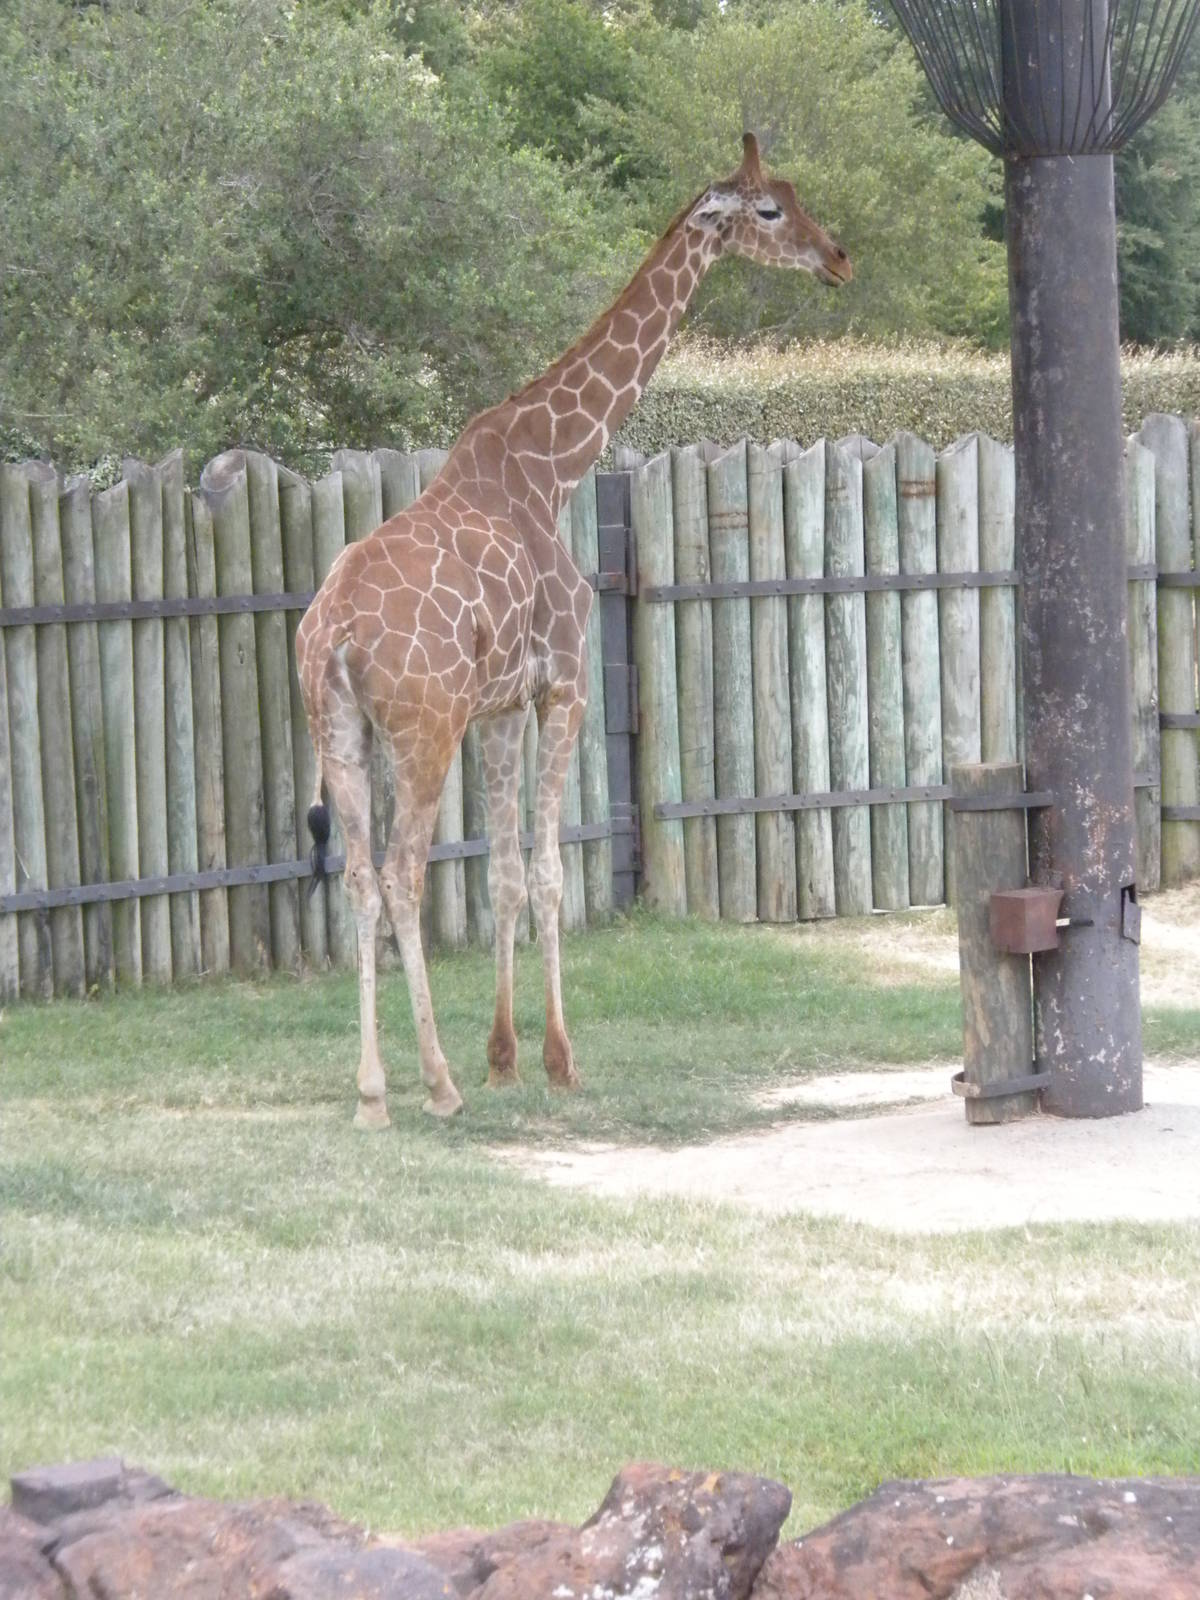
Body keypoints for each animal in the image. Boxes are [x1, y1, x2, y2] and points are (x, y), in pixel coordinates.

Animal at [296, 133, 851, 1127]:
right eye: (770, 210)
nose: (837, 257)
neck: (554, 464)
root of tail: (337, 633)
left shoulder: (501, 706)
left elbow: (507, 874)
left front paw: (505, 1057)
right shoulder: (565, 685)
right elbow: (551, 871)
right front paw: (558, 1061)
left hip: (342, 733)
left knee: (359, 878)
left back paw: (373, 1093)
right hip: (422, 730)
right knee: (400, 873)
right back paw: (434, 1085)